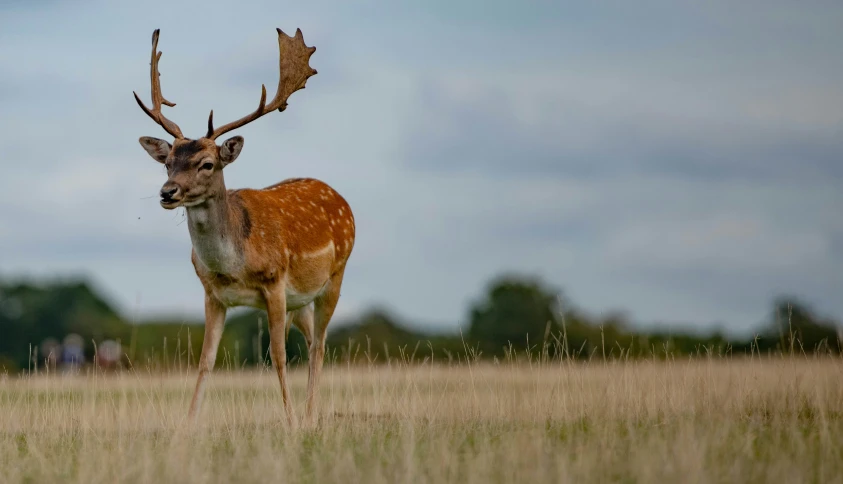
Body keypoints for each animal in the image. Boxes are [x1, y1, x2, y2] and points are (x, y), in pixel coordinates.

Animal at [133, 28, 356, 426]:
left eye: (207, 164)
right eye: (168, 163)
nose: (167, 192)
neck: (234, 265)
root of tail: (341, 199)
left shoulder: (275, 283)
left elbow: (278, 357)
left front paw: (291, 421)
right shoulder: (213, 294)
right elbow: (205, 361)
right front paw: (187, 425)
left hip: (334, 277)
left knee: (320, 345)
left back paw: (310, 415)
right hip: (301, 300)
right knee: (313, 342)